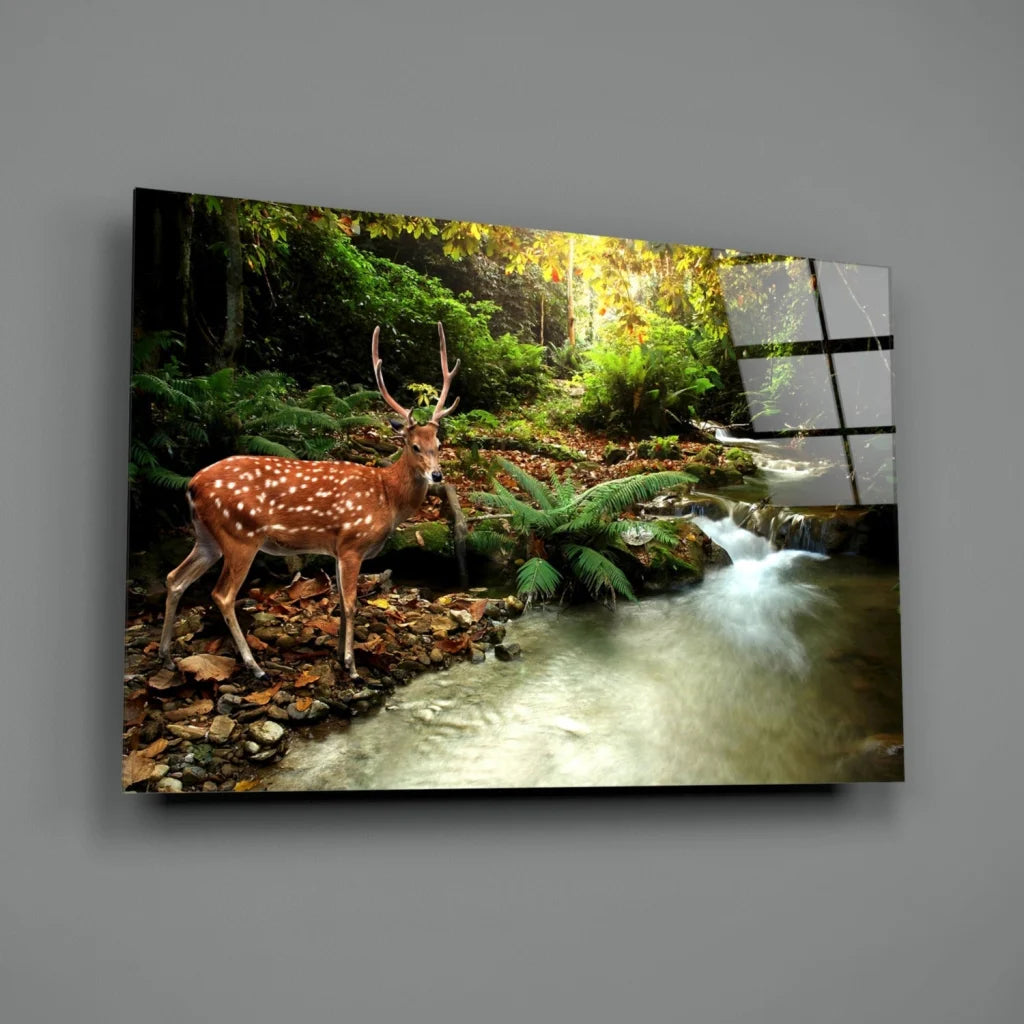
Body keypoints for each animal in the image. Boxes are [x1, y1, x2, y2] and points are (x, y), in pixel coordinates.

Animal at [158, 322, 460, 682]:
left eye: (439, 444)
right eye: (413, 445)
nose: (437, 475)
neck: (386, 497)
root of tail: (192, 485)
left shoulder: (337, 549)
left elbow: (341, 602)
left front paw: (340, 657)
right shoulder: (353, 543)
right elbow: (351, 604)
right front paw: (353, 668)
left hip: (208, 537)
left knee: (174, 578)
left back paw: (166, 657)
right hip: (240, 535)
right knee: (222, 594)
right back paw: (255, 666)